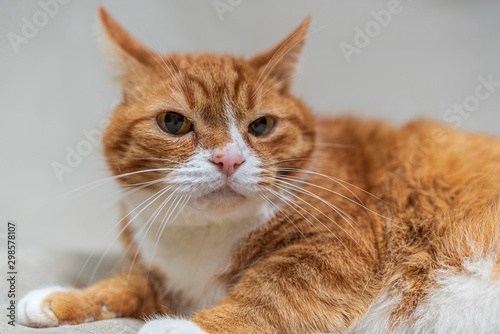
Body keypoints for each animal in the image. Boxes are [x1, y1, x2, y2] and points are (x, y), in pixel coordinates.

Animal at [16, 5, 500, 334]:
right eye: (173, 122)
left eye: (262, 126)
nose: (228, 158)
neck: (204, 243)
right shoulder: (164, 278)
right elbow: (124, 286)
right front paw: (61, 298)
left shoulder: (336, 247)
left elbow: (269, 293)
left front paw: (181, 325)